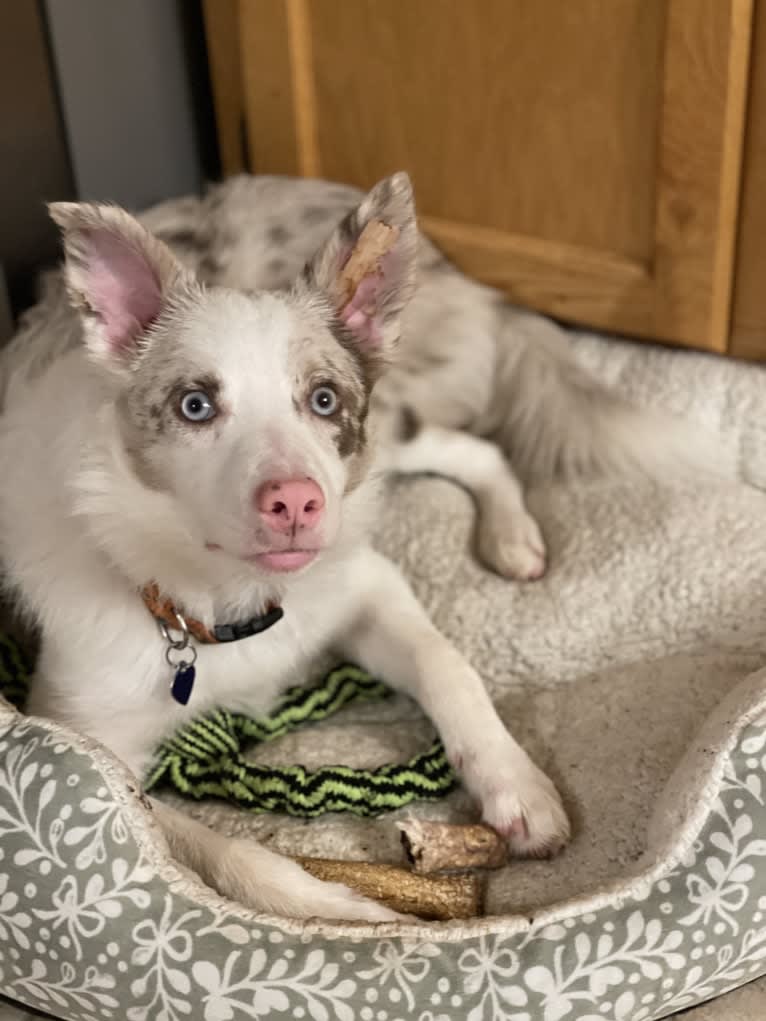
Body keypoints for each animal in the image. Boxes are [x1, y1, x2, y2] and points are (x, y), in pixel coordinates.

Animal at [0, 171, 706, 922]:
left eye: (323, 399)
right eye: (196, 405)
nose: (296, 504)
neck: (225, 602)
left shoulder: (366, 583)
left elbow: (447, 664)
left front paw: (516, 784)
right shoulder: (89, 743)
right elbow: (226, 853)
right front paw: (349, 915)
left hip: (383, 434)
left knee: (475, 449)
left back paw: (514, 537)